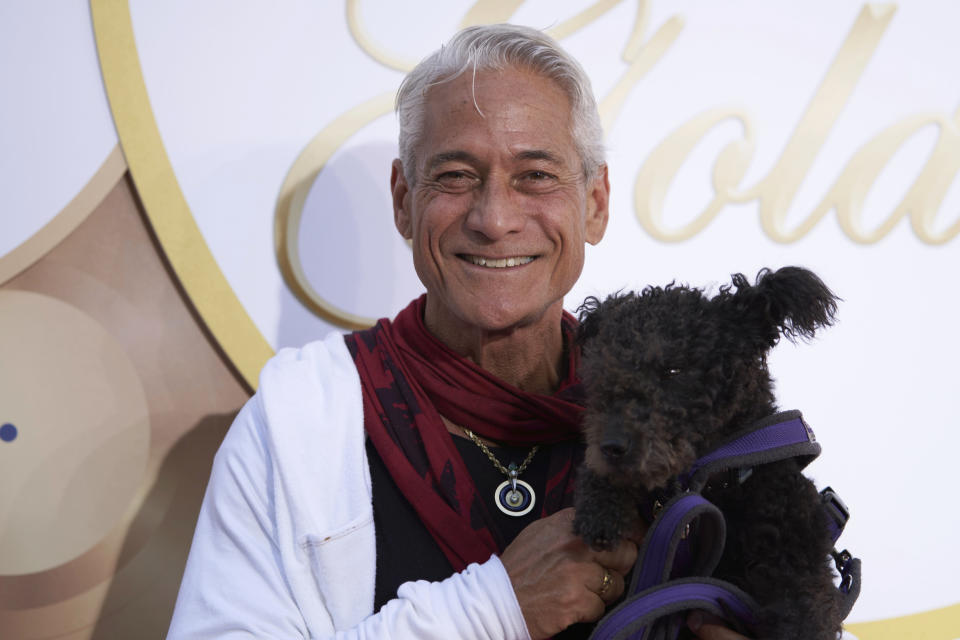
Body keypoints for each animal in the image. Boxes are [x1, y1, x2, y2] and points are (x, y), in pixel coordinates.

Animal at [572, 266, 844, 640]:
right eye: (602, 367)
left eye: (674, 369)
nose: (611, 446)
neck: (714, 483)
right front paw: (600, 507)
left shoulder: (798, 564)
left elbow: (805, 615)